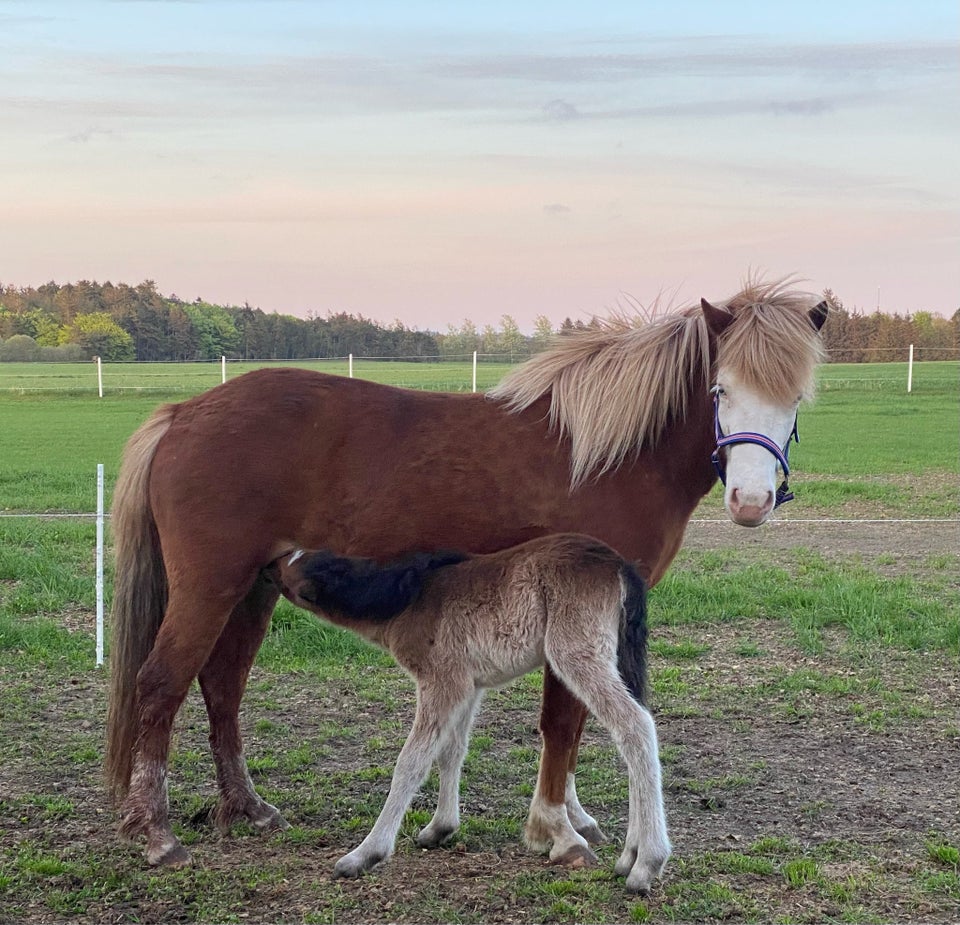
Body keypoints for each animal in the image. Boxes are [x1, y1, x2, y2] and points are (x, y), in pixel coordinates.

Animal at [266, 536, 672, 896]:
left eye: (288, 569)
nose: (270, 560)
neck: (408, 598)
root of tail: (619, 565)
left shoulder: (442, 680)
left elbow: (411, 761)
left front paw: (365, 854)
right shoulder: (469, 686)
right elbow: (452, 750)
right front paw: (441, 827)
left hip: (575, 653)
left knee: (634, 726)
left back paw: (647, 863)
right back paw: (630, 855)